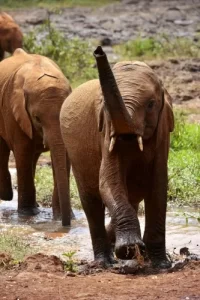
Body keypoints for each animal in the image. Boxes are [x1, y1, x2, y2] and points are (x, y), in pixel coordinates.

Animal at [0, 47, 72, 225]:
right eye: (37, 118)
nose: (66, 225)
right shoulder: (14, 111)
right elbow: (23, 152)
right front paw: (27, 214)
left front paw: (61, 216)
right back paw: (7, 196)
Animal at [60, 46, 174, 268]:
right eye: (104, 105)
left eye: (151, 104)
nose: (98, 50)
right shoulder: (105, 132)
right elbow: (108, 182)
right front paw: (129, 250)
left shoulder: (162, 132)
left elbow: (158, 187)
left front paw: (161, 264)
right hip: (75, 154)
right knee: (92, 202)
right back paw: (105, 262)